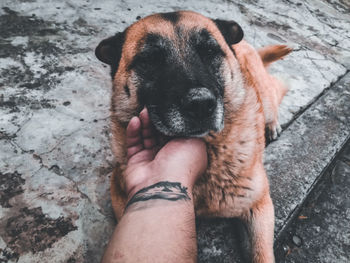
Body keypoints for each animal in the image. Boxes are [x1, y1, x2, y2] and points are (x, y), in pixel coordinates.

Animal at [95, 10, 290, 263]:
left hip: (263, 94)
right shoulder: (122, 197)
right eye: (149, 59)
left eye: (209, 51)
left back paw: (272, 125)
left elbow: (262, 254)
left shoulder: (259, 204)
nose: (201, 105)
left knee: (275, 91)